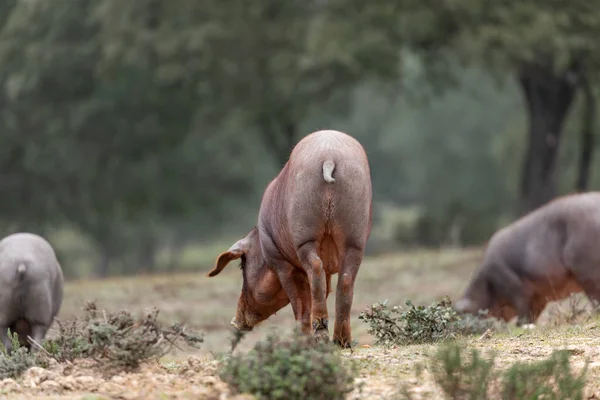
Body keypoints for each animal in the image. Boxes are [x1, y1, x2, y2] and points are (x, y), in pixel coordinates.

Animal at [209, 129, 372, 346]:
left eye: (242, 266)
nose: (235, 322)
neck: (262, 242)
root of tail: (328, 157)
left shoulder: (280, 262)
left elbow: (300, 303)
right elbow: (324, 289)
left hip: (304, 234)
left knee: (316, 270)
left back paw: (320, 334)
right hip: (355, 235)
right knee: (345, 281)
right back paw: (341, 342)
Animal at [454, 192, 600, 326]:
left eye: (464, 313)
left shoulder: (513, 285)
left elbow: (522, 307)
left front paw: (521, 326)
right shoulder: (539, 297)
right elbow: (533, 313)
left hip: (585, 267)